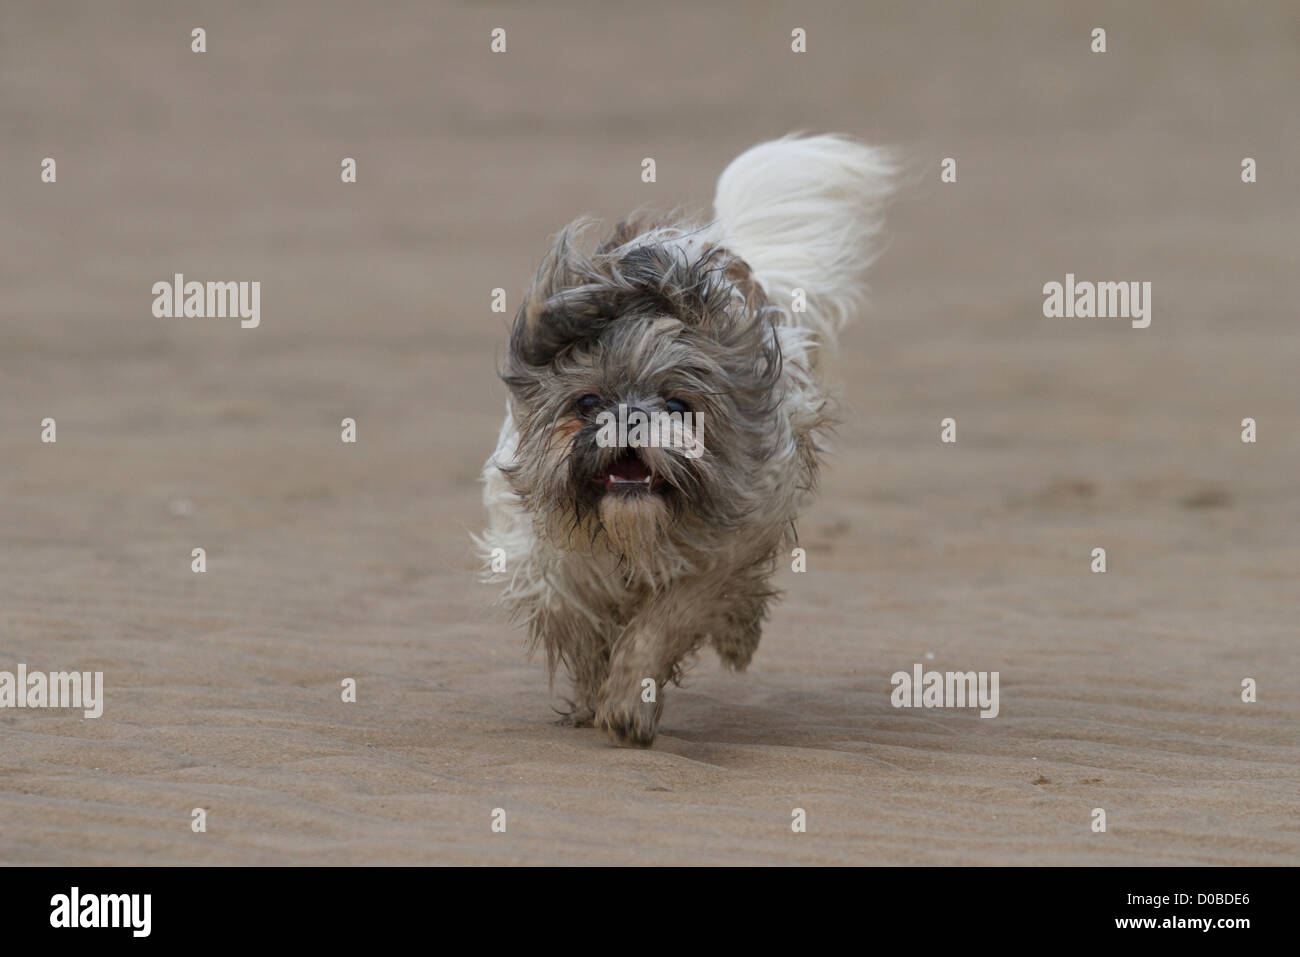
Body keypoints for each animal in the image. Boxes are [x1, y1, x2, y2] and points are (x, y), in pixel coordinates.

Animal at [480, 134, 894, 748]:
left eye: (678, 406)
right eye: (587, 404)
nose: (630, 418)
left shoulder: (725, 546)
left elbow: (660, 625)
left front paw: (629, 703)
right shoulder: (551, 565)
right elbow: (582, 631)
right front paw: (594, 696)